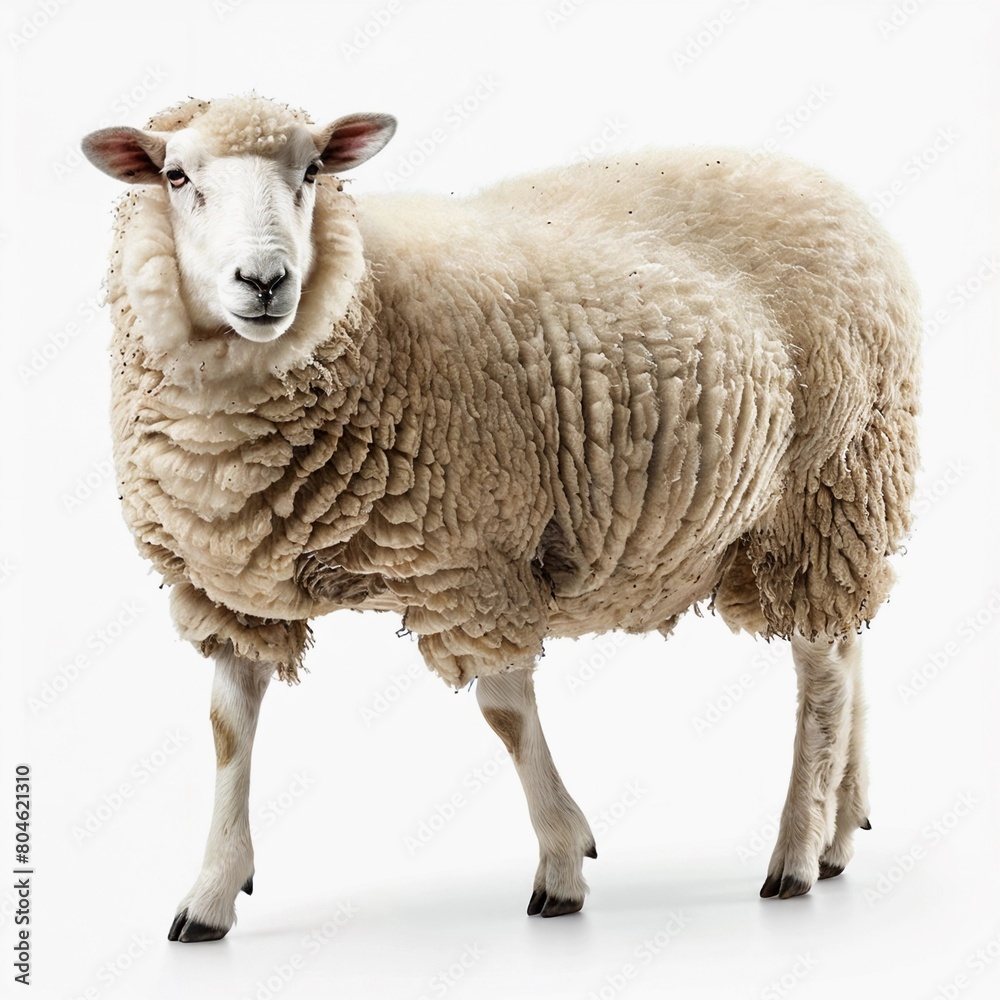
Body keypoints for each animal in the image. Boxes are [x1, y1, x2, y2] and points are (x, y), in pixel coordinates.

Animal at [81, 94, 920, 942]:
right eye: (176, 176)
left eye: (312, 170)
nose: (264, 281)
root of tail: (830, 188)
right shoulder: (229, 584)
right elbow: (228, 729)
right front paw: (211, 892)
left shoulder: (474, 560)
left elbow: (505, 714)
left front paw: (562, 864)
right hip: (837, 512)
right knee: (847, 645)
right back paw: (841, 831)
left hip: (828, 481)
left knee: (820, 675)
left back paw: (797, 851)